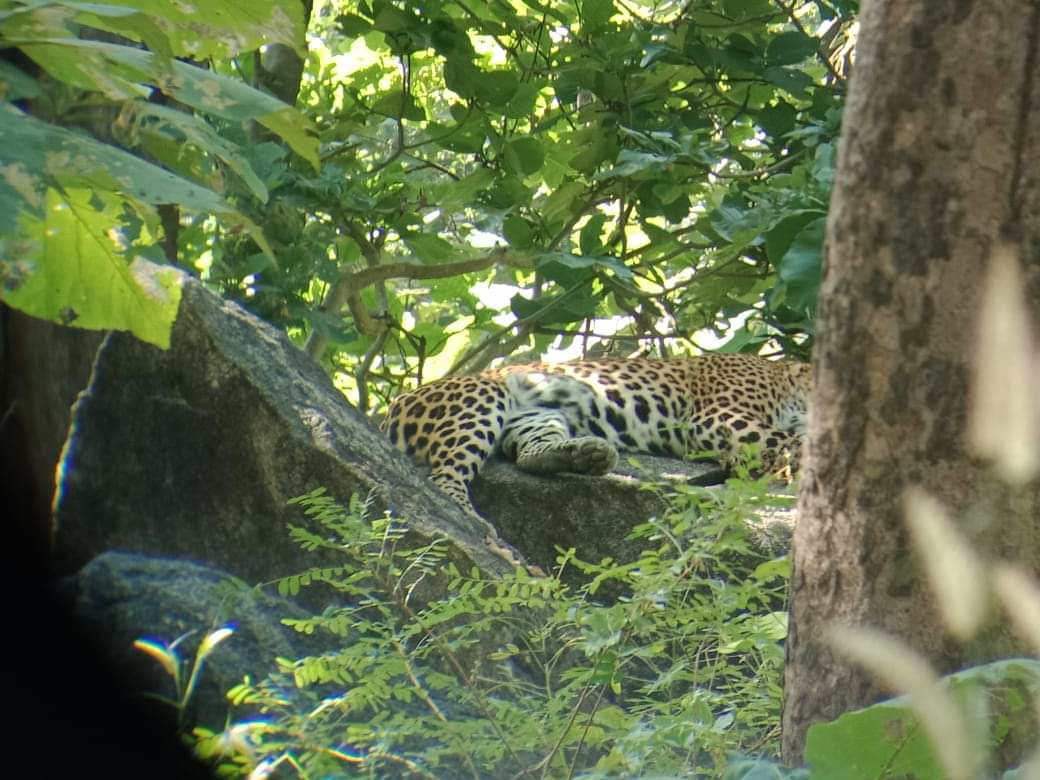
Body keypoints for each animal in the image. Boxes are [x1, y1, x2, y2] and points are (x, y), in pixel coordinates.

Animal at [382, 353, 811, 513]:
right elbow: (785, 438)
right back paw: (465, 515)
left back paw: (588, 453)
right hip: (483, 394)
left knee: (530, 454)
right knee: (444, 477)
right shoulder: (718, 414)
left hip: (535, 414)